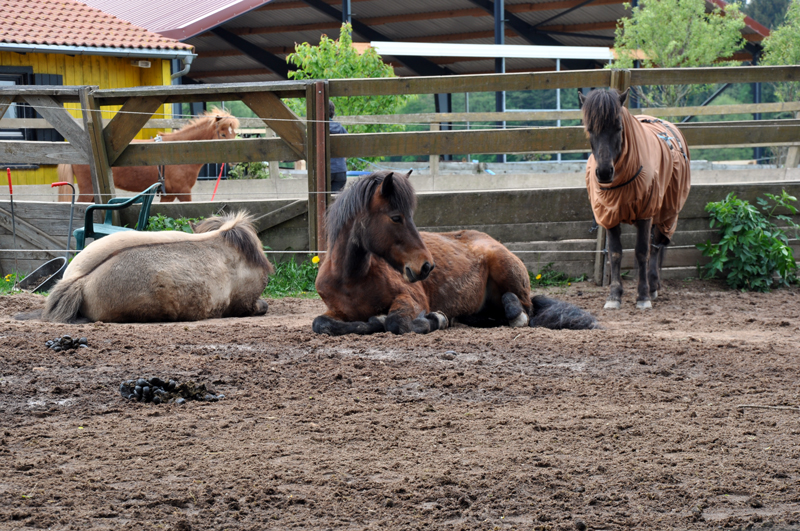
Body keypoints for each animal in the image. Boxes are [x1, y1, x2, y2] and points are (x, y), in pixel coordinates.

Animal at [59, 108, 238, 204]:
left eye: (234, 133)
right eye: (223, 134)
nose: (234, 162)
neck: (178, 150)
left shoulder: (169, 195)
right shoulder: (183, 192)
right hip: (88, 191)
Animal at [312, 171, 600, 336]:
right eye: (395, 217)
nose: (426, 266)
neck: (351, 279)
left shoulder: (411, 299)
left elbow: (395, 322)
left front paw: (434, 320)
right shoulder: (335, 311)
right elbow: (320, 324)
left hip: (506, 269)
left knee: (524, 310)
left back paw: (513, 313)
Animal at [580, 89, 692, 310]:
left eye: (618, 127)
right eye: (589, 128)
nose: (604, 173)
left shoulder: (645, 212)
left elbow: (642, 252)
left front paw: (643, 296)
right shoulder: (609, 213)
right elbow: (615, 253)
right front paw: (614, 296)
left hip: (667, 211)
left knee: (656, 246)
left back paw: (653, 286)